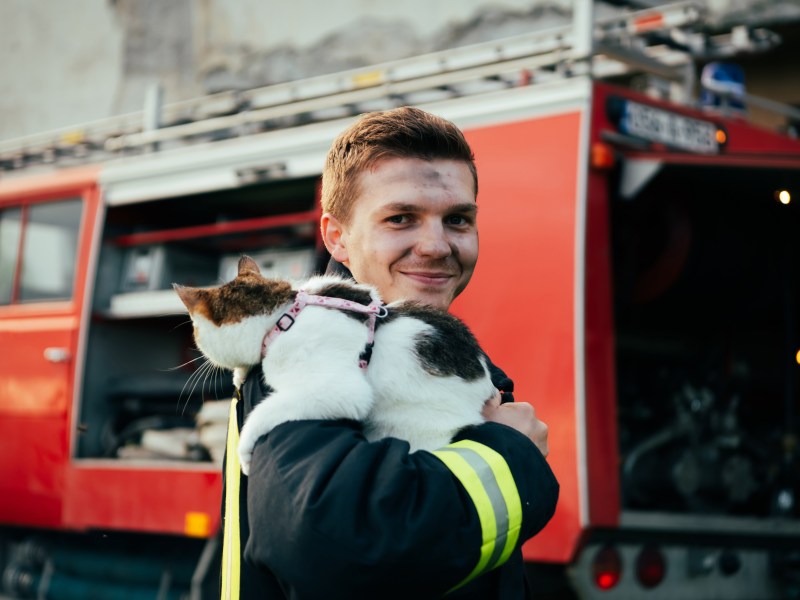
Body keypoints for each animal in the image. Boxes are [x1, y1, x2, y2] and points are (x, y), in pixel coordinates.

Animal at [177, 253, 494, 474]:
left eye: (195, 331)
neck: (283, 314)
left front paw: (244, 451)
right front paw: (240, 373)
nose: (195, 343)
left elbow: (266, 411)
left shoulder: (337, 389)